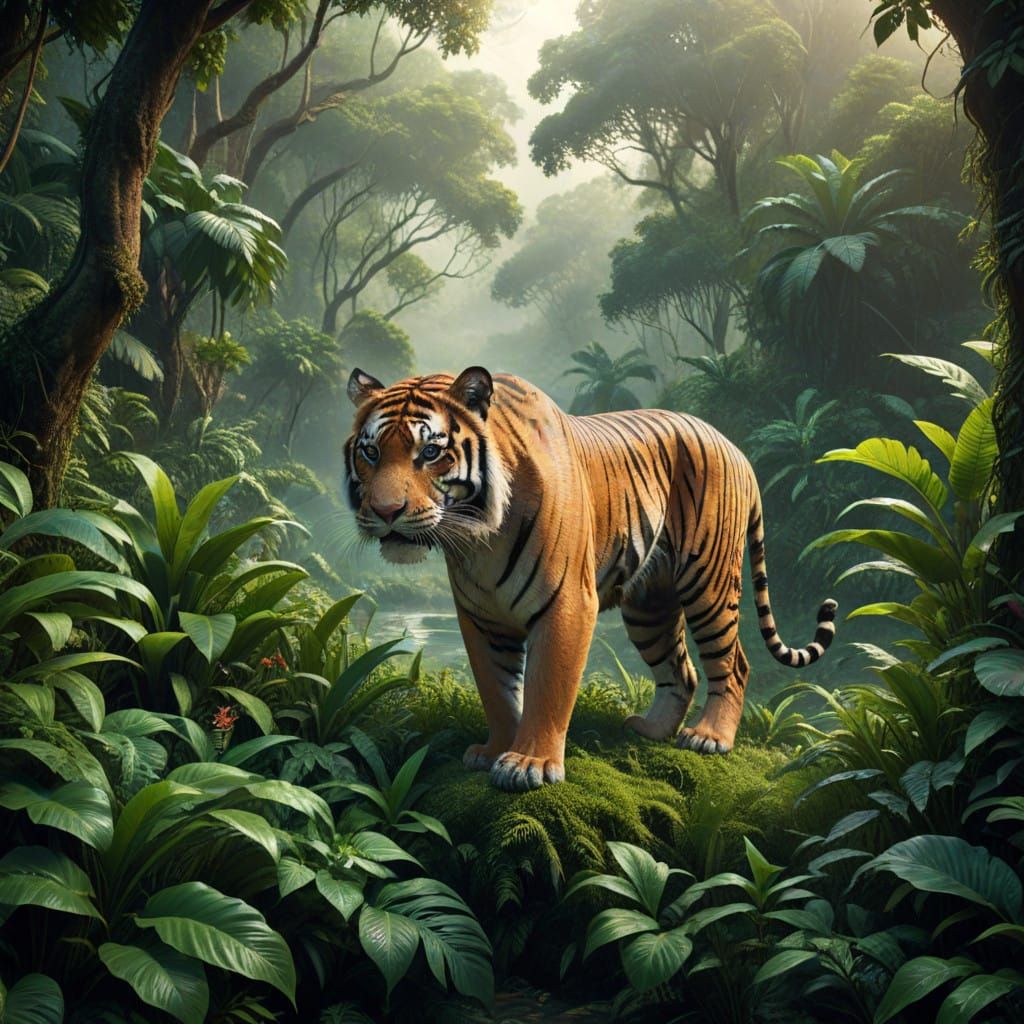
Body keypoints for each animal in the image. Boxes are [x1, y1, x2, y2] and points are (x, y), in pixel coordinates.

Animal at [344, 366, 837, 792]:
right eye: (370, 452)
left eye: (429, 452)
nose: (386, 512)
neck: (478, 537)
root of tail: (737, 449)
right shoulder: (481, 616)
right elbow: (496, 689)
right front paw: (496, 749)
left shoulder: (567, 603)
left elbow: (547, 685)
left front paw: (529, 764)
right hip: (649, 606)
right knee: (681, 670)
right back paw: (651, 729)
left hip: (708, 580)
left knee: (733, 663)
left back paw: (710, 737)